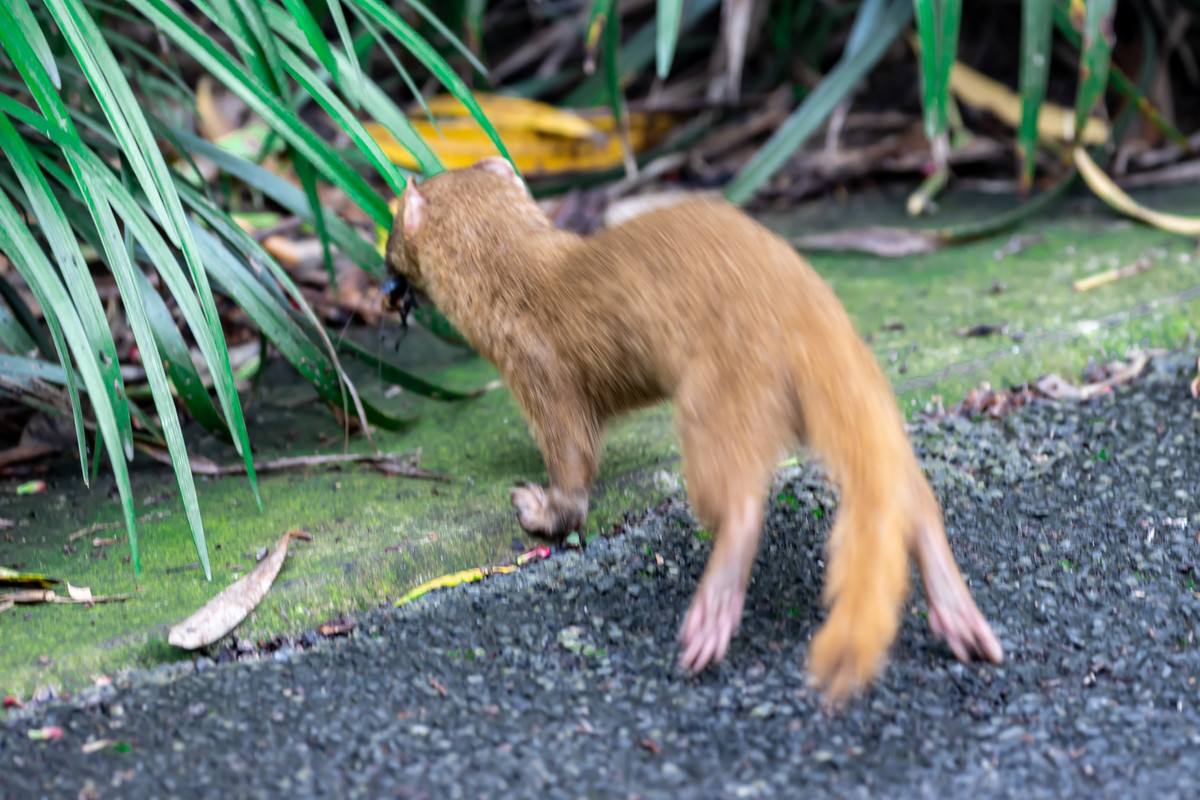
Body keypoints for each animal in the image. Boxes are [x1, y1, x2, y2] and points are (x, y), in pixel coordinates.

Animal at [386, 155, 1003, 700]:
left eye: (389, 224)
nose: (387, 286)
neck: (519, 276)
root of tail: (807, 311)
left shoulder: (541, 376)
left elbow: (573, 465)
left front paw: (537, 506)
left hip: (717, 399)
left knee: (741, 501)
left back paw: (714, 610)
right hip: (852, 400)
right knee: (911, 496)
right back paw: (959, 615)